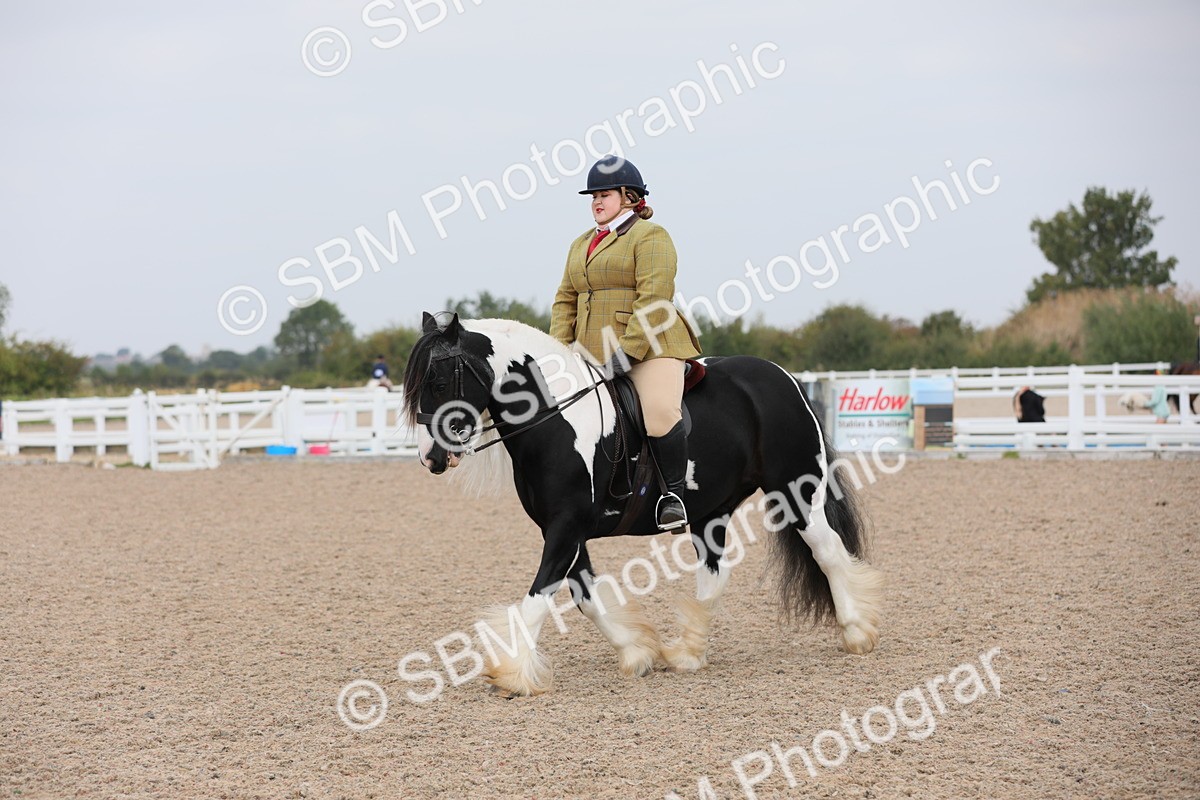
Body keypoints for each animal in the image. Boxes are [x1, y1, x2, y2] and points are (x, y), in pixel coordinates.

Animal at [402, 312, 883, 697]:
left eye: (439, 383)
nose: (431, 458)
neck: (556, 419)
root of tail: (785, 378)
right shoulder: (563, 530)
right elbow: (586, 597)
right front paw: (637, 653)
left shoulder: (566, 528)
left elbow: (538, 597)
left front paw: (514, 674)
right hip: (711, 511)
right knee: (715, 573)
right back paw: (688, 652)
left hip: (797, 489)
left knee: (828, 552)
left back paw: (857, 633)